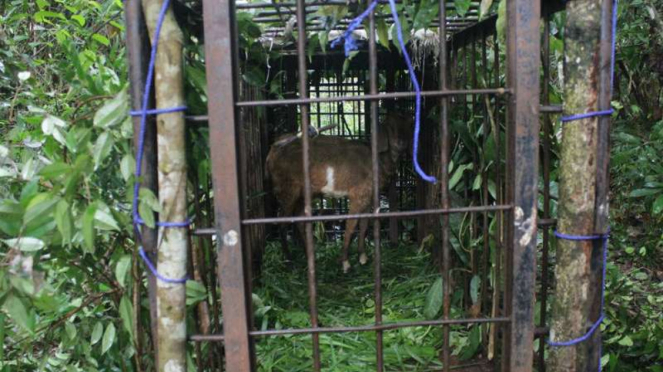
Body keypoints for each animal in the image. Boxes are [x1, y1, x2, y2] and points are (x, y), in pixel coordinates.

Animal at [266, 113, 412, 274]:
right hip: (286, 188)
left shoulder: (368, 196)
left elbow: (364, 224)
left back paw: (310, 256)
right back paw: (289, 261)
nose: (401, 142)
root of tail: (272, 151)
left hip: (302, 193)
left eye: (408, 127)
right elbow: (350, 225)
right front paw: (345, 263)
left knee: (299, 219)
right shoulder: (358, 195)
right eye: (390, 127)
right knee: (282, 222)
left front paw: (362, 257)